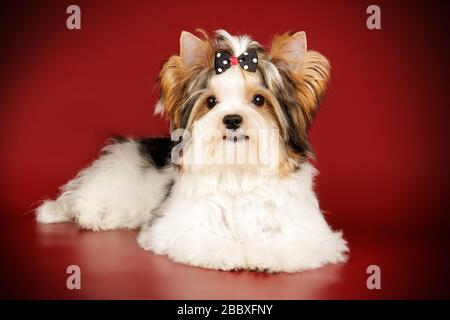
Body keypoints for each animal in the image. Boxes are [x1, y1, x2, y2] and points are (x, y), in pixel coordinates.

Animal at [37, 30, 348, 272]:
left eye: (259, 100)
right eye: (211, 102)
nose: (232, 119)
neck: (238, 168)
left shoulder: (309, 231)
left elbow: (294, 242)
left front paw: (265, 254)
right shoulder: (177, 225)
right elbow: (201, 236)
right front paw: (229, 252)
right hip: (117, 179)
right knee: (84, 200)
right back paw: (89, 215)